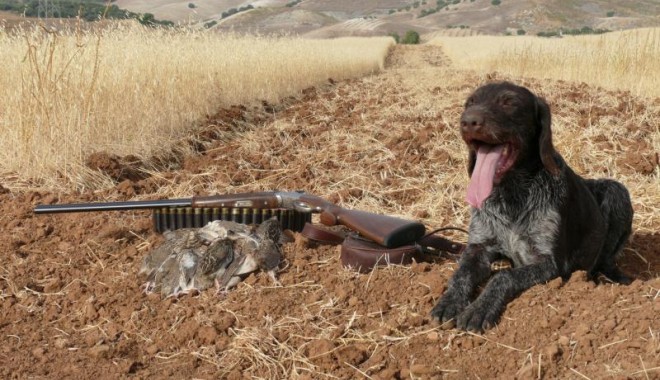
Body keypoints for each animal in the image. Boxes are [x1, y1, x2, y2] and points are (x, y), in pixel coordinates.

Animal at [430, 81, 632, 332]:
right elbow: (460, 274)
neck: (511, 195)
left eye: (509, 102)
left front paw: (479, 308)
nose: (468, 121)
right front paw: (449, 301)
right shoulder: (478, 247)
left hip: (617, 190)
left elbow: (503, 276)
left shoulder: (550, 264)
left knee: (606, 260)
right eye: (470, 102)